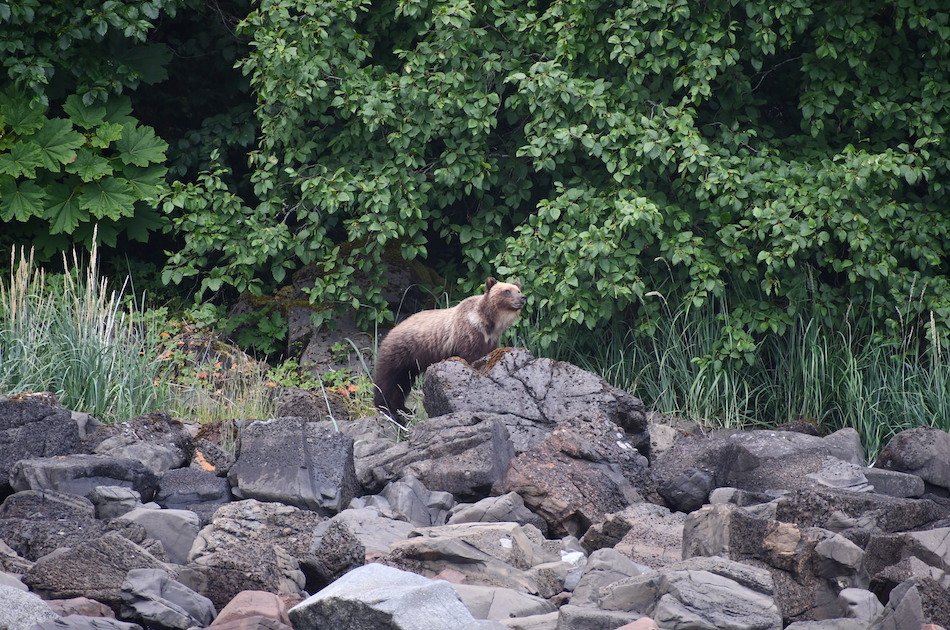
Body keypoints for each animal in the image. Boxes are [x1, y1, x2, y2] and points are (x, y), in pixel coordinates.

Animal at [374, 276, 528, 420]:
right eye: (507, 291)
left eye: (518, 290)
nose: (522, 298)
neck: (488, 324)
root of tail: (392, 330)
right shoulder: (468, 334)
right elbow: (470, 357)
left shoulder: (491, 340)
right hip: (399, 351)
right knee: (386, 379)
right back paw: (385, 408)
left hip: (410, 363)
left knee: (403, 383)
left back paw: (403, 408)